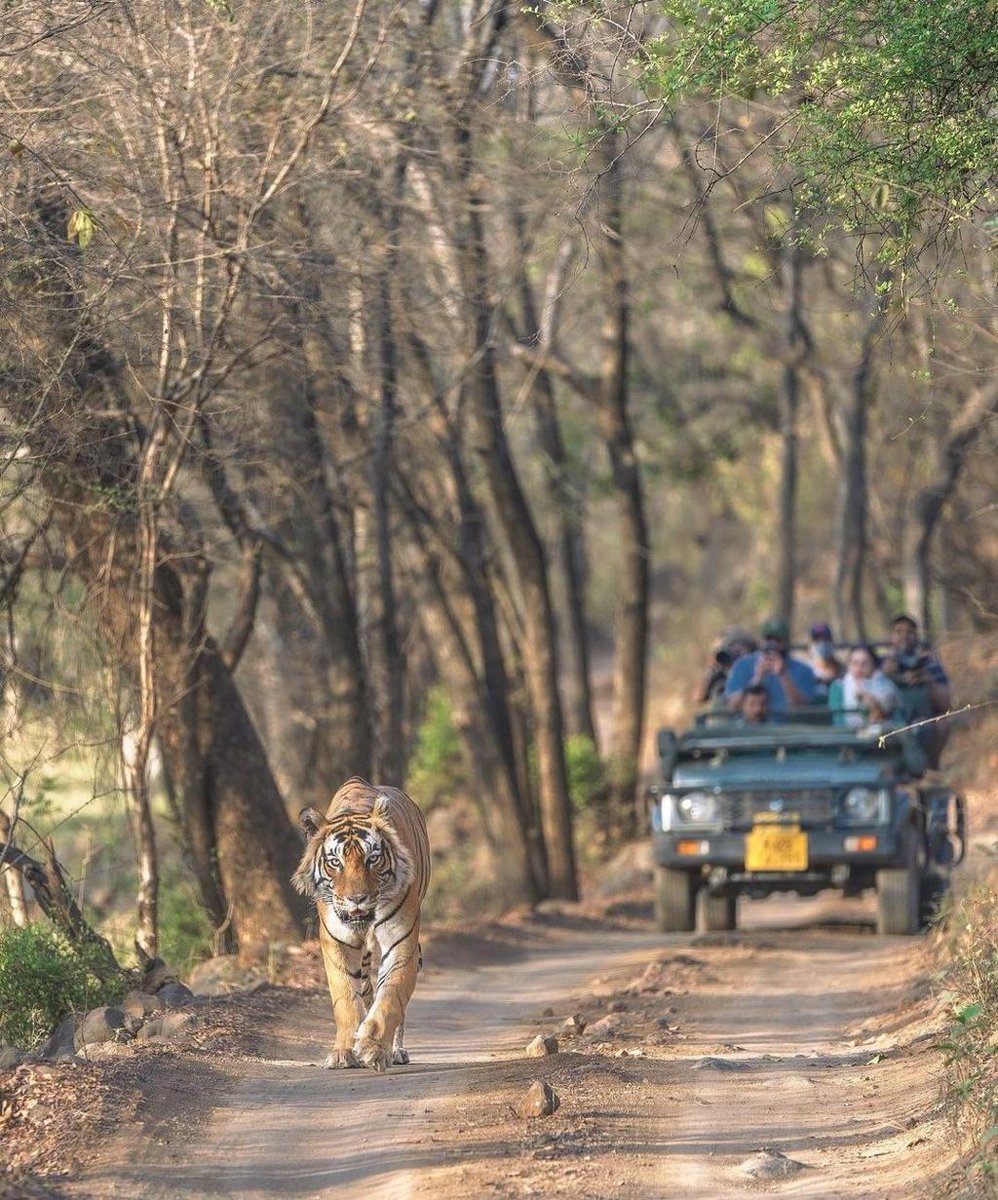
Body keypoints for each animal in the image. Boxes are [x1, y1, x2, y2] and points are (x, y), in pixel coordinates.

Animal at [291, 776, 430, 1072]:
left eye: (372, 859)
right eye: (335, 862)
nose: (357, 899)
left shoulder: (401, 940)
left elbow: (391, 996)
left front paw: (373, 1048)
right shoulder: (336, 942)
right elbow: (346, 997)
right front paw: (344, 1052)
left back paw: (395, 1050)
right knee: (365, 989)